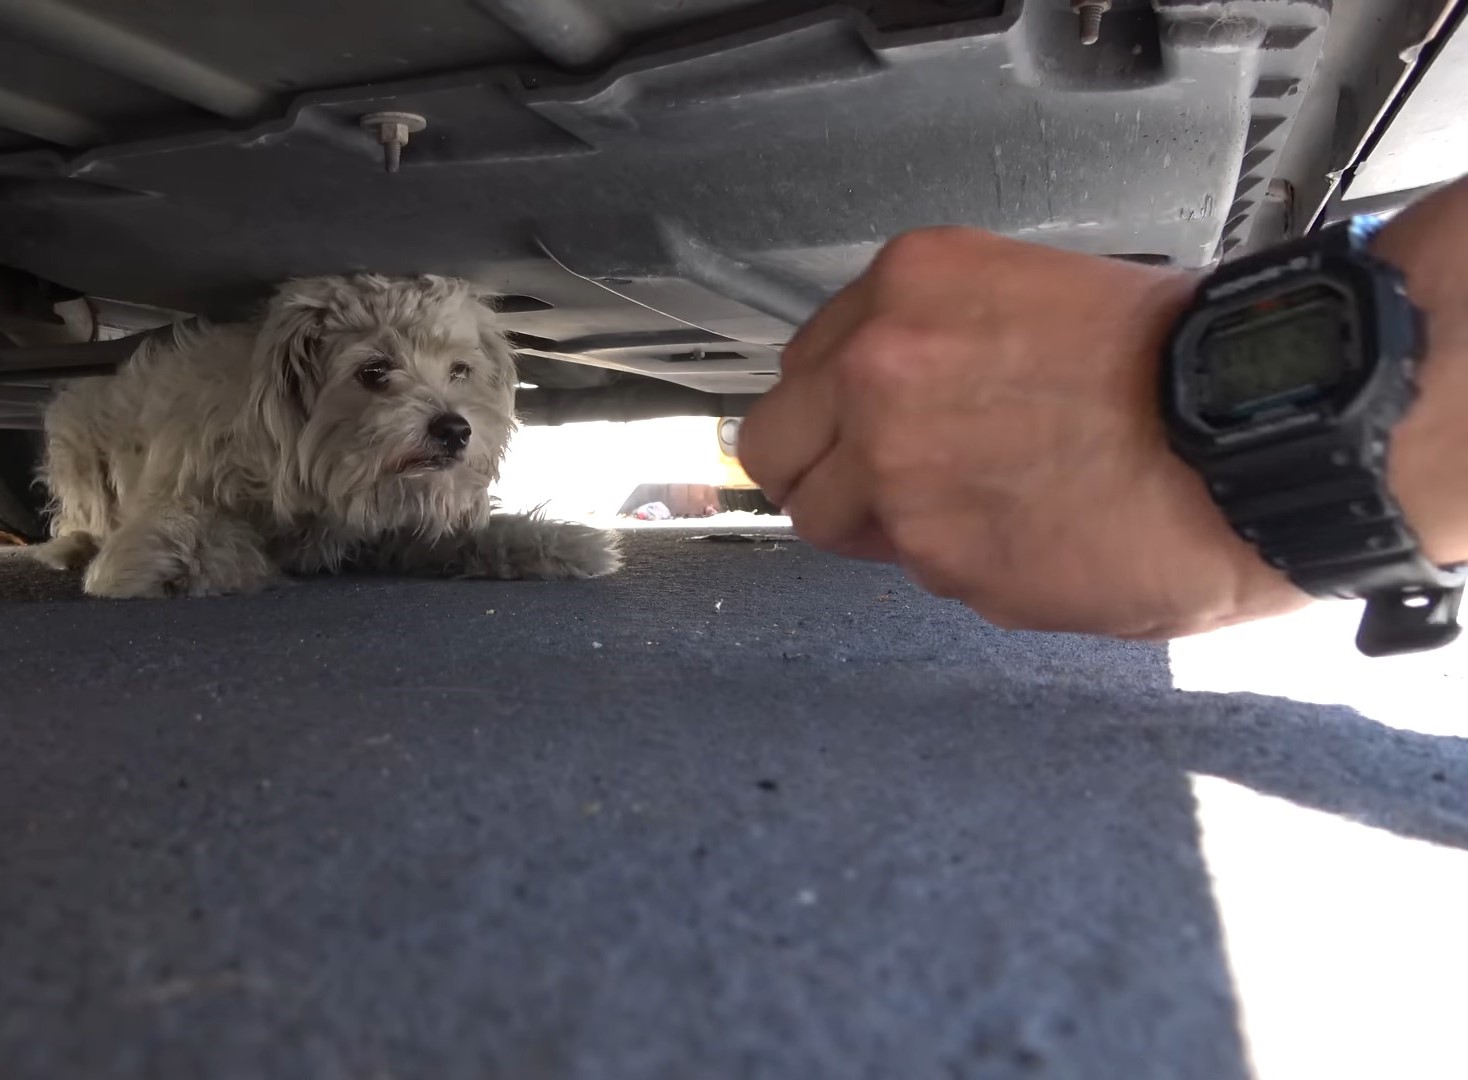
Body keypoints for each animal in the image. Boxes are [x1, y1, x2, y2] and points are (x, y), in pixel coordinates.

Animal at [33, 271, 619, 598]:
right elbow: (199, 528)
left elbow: (472, 533)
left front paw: (560, 543)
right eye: (374, 371)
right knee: (80, 514)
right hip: (75, 444)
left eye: (460, 370)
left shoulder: (393, 525)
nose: (456, 429)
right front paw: (176, 561)